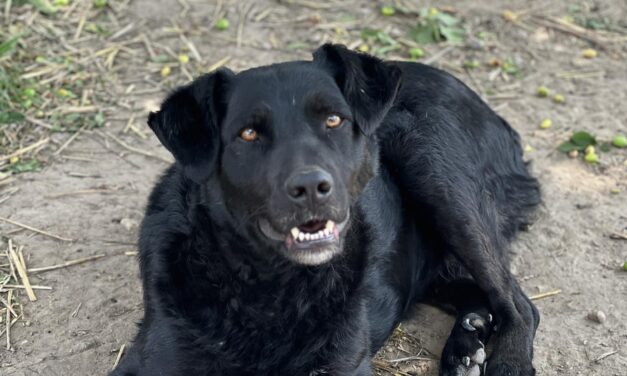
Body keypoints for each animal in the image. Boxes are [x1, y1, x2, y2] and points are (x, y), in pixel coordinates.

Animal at [114, 44, 544, 376]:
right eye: (248, 133)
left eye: (334, 119)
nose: (311, 188)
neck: (271, 289)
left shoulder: (343, 365)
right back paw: (467, 343)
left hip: (436, 171)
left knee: (521, 305)